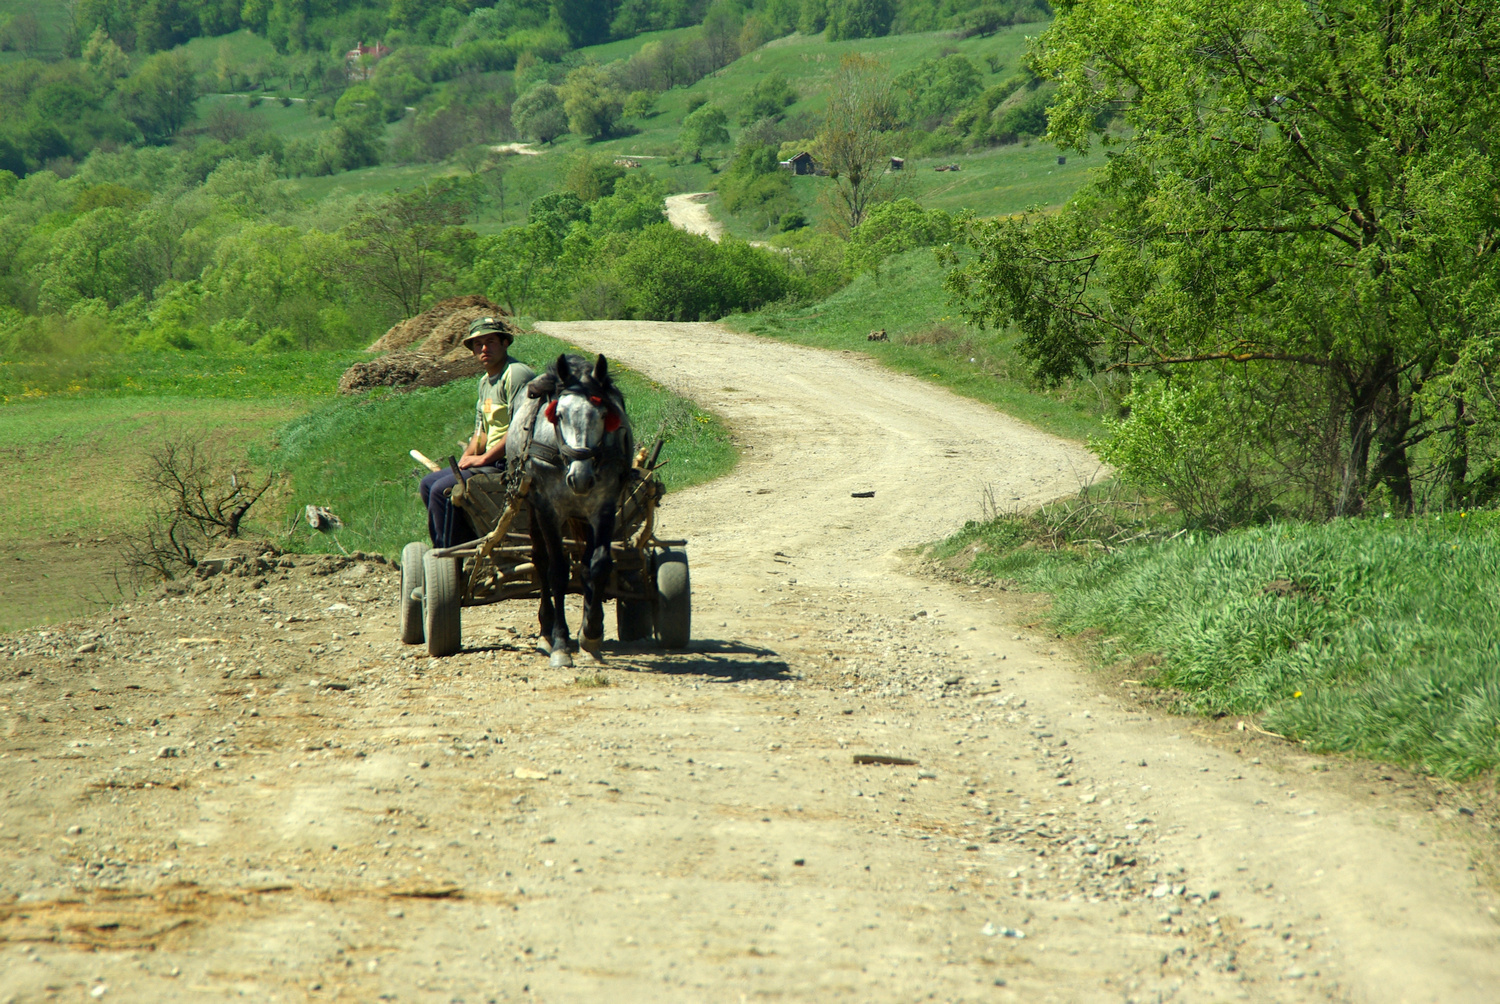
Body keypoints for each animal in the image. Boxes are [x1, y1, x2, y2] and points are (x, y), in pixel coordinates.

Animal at [510, 352, 633, 666]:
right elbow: (557, 571)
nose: (581, 478)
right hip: (531, 507)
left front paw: (591, 632)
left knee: (587, 562)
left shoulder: (603, 506)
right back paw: (545, 631)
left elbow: (598, 564)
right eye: (560, 414)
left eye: (602, 415)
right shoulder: (548, 509)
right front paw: (561, 643)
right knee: (540, 561)